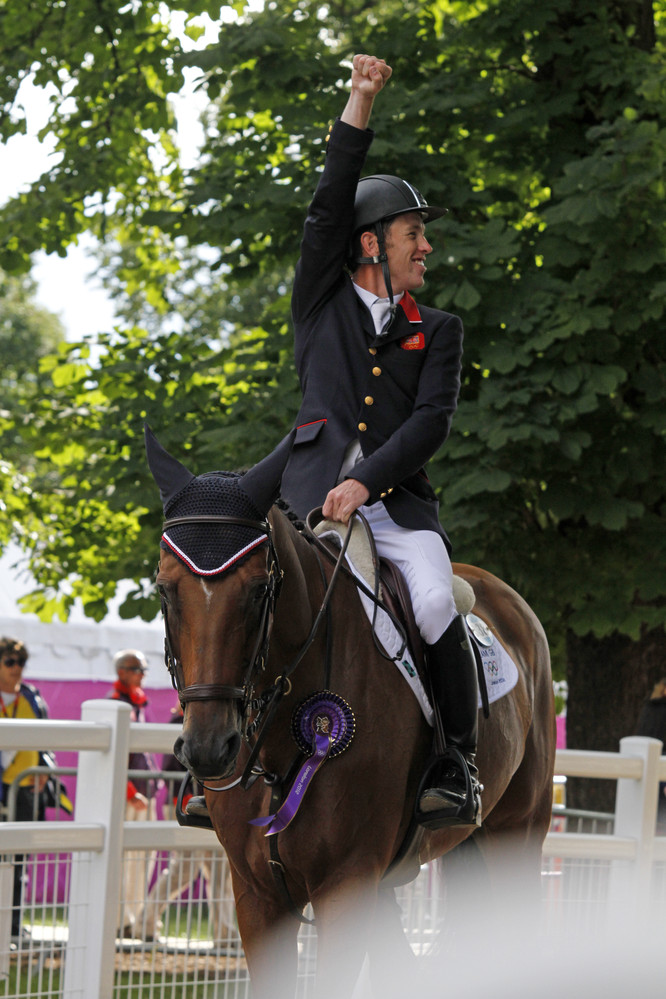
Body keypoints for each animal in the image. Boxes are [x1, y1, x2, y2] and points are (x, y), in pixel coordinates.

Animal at [145, 428, 556, 999]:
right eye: (164, 589)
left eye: (258, 591)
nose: (209, 748)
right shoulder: (257, 896)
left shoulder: (346, 885)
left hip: (516, 833)